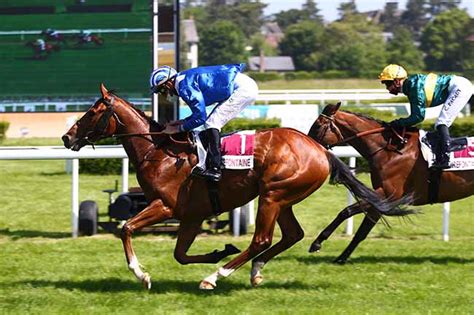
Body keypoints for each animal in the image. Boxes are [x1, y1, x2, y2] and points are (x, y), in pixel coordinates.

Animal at [62, 84, 412, 292]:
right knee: (291, 235)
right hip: (283, 198)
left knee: (261, 240)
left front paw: (141, 274)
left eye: (93, 111)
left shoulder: (166, 206)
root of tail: (319, 148)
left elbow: (126, 228)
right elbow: (180, 254)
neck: (160, 153)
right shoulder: (192, 215)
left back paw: (216, 276)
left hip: (272, 195)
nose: (67, 137)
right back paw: (253, 271)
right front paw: (221, 249)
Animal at [306, 103, 472, 264]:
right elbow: (361, 232)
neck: (391, 150)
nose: (308, 147)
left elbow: (346, 212)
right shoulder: (380, 199)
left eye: (318, 125)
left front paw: (317, 243)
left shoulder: (387, 195)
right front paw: (341, 258)